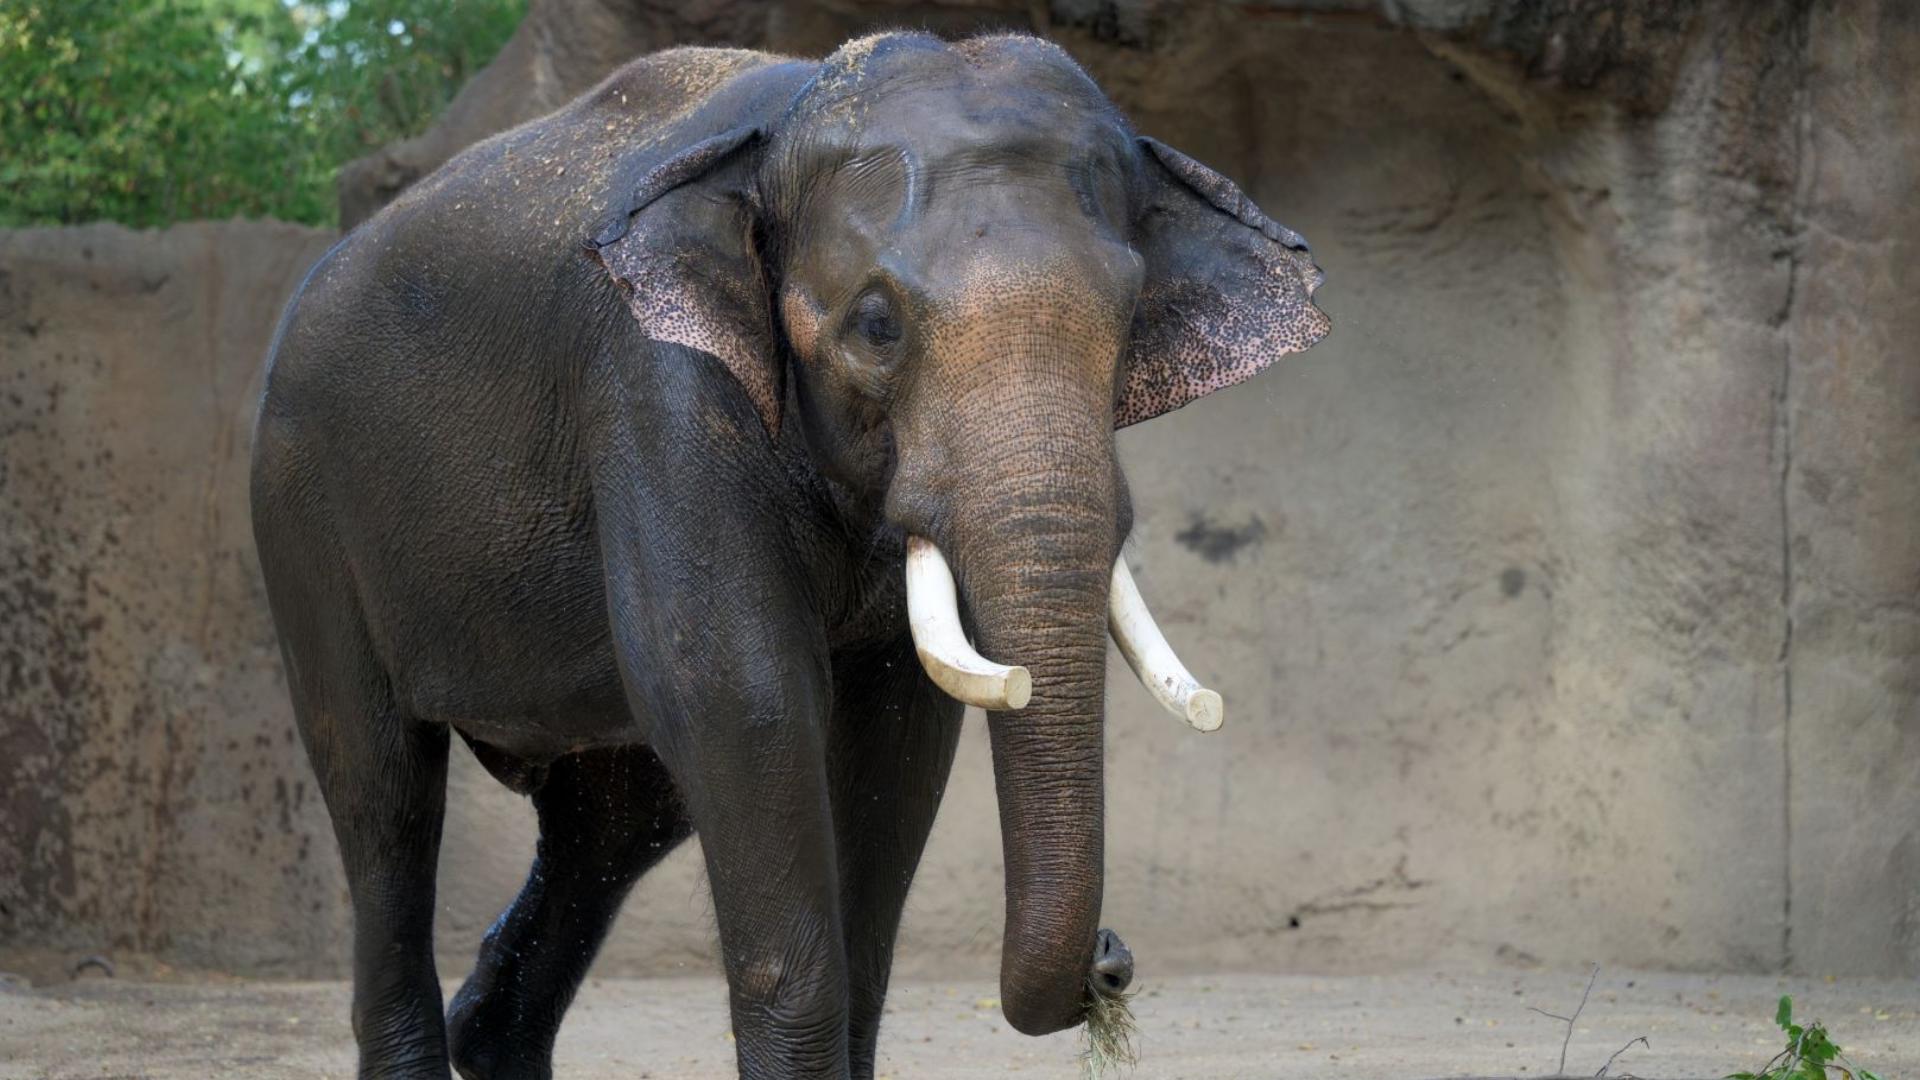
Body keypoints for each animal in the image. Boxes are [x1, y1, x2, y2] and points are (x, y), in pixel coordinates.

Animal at [249, 30, 1329, 1080]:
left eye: (1129, 318)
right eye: (878, 325)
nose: (1112, 958)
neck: (789, 116)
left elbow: (898, 729)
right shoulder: (656, 388)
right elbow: (745, 698)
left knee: (613, 822)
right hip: (302, 511)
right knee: (383, 792)